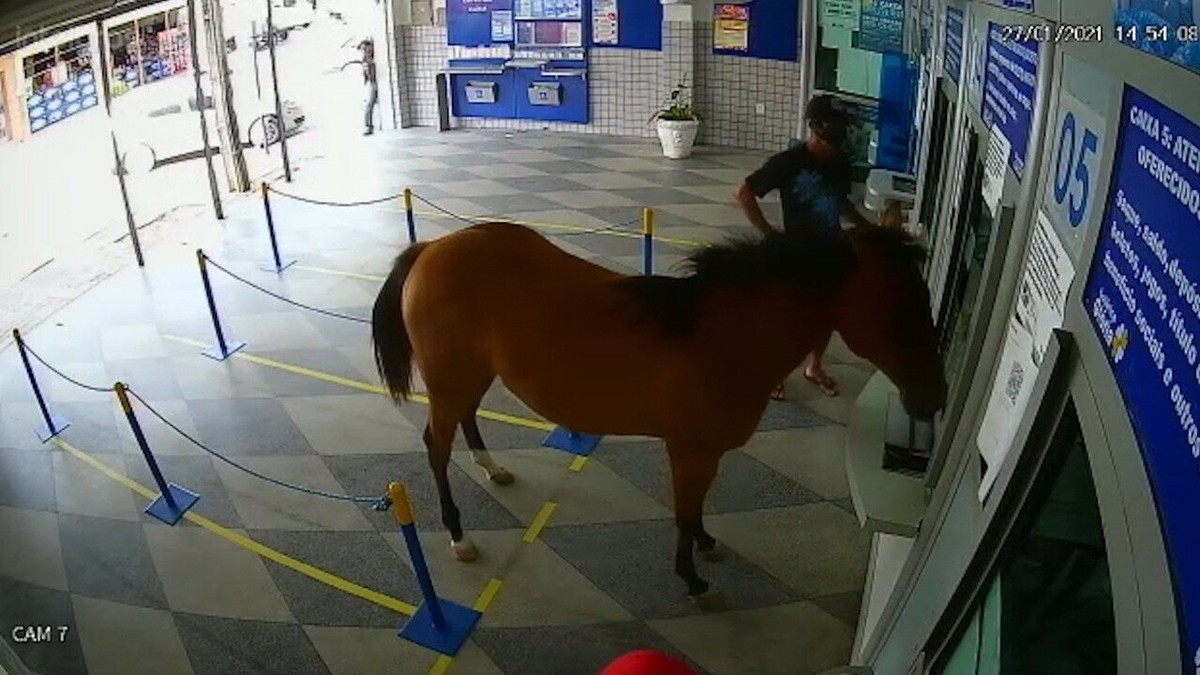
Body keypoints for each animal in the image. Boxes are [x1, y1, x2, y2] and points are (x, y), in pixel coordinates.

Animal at [369, 222, 950, 605]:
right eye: (900, 307)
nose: (934, 397)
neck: (723, 338)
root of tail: (431, 248)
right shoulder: (690, 451)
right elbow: (684, 511)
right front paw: (692, 579)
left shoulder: (704, 454)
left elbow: (697, 508)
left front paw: (707, 546)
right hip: (449, 380)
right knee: (436, 447)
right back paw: (459, 537)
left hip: (469, 375)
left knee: (466, 421)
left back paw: (493, 469)